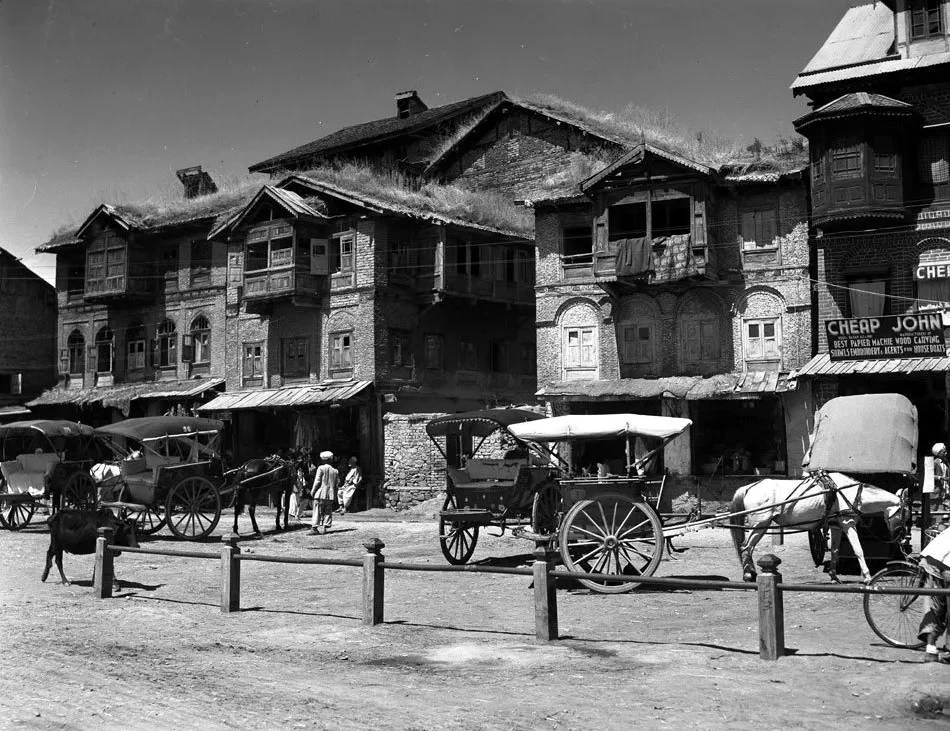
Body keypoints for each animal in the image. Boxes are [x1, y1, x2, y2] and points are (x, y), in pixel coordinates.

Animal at [728, 474, 908, 584]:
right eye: (906, 513)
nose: (903, 537)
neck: (850, 493)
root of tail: (749, 487)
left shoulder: (837, 526)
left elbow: (835, 551)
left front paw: (834, 577)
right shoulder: (848, 523)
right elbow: (859, 550)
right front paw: (868, 577)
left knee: (747, 548)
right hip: (760, 525)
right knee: (746, 548)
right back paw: (748, 574)